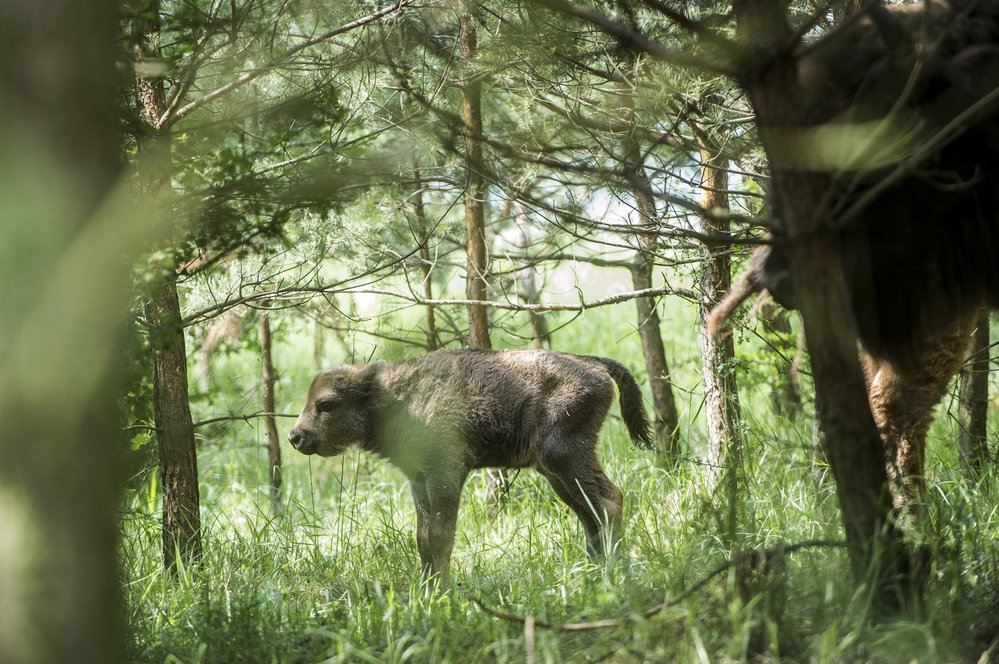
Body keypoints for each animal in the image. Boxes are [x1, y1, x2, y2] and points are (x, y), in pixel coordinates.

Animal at [286, 348, 652, 588]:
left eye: (327, 404)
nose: (296, 436)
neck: (392, 398)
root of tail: (594, 364)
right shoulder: (418, 480)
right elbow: (422, 536)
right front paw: (426, 588)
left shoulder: (446, 473)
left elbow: (440, 535)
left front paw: (443, 591)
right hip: (556, 472)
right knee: (589, 513)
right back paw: (595, 570)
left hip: (564, 457)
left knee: (609, 500)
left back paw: (613, 571)